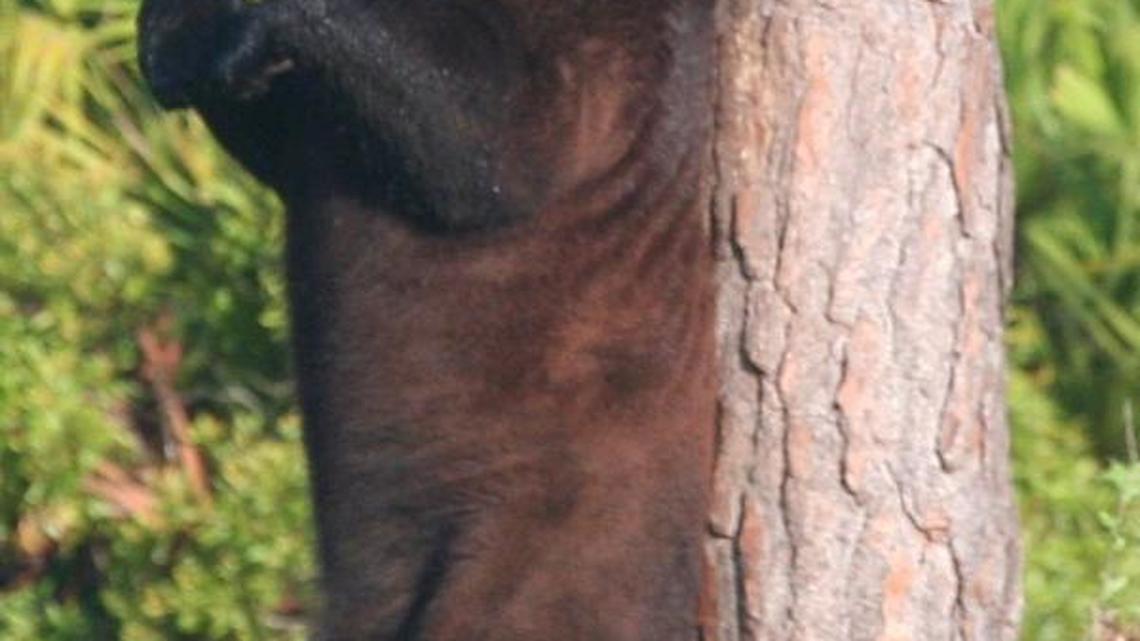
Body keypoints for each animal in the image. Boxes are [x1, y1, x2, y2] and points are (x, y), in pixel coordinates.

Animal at [137, 0, 717, 639]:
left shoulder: (607, 53)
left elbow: (503, 133)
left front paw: (240, 34)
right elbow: (281, 141)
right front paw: (175, 40)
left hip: (542, 533)